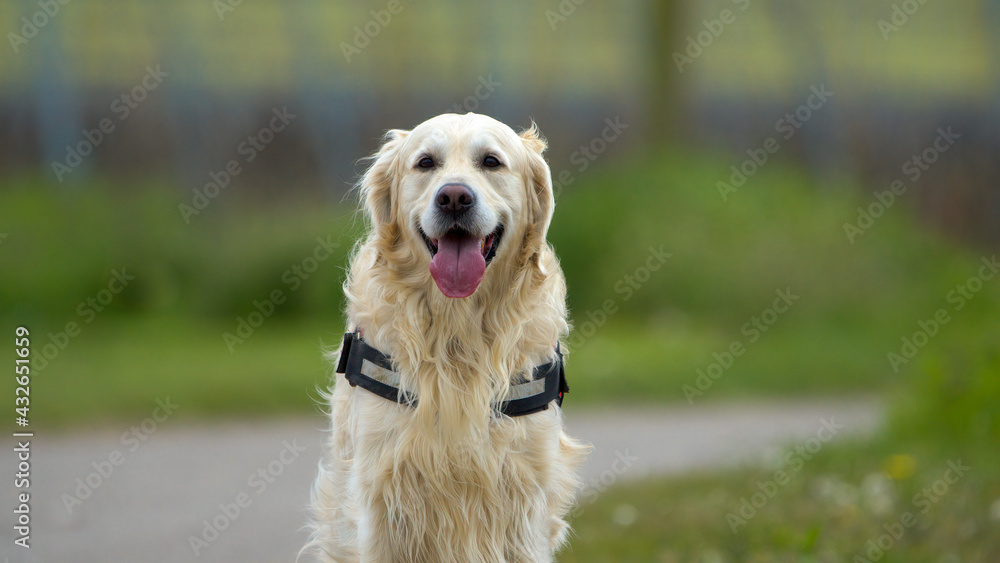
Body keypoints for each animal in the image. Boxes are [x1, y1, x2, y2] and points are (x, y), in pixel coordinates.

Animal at [300, 112, 588, 560]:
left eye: (491, 161)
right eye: (425, 163)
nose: (453, 197)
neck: (458, 331)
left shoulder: (524, 496)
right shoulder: (380, 492)